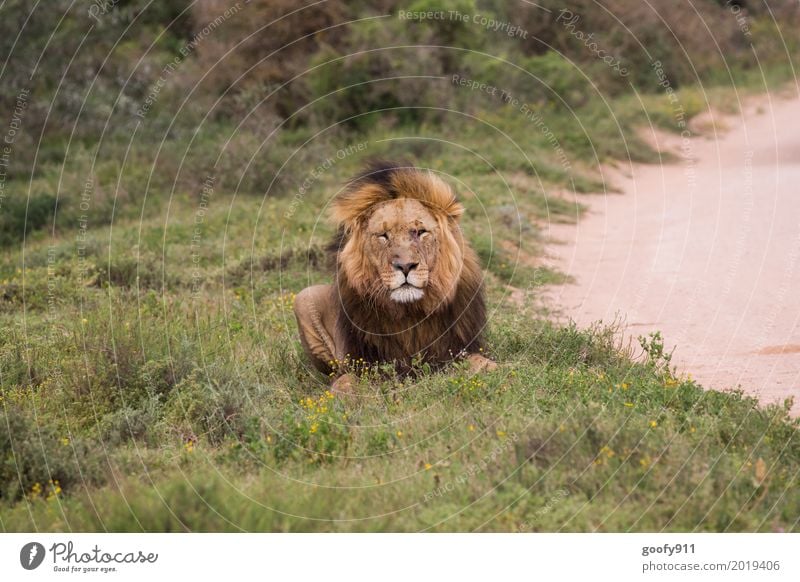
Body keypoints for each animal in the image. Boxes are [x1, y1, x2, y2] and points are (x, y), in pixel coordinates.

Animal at [294, 162, 494, 394]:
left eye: (420, 232)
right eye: (383, 235)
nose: (405, 266)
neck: (410, 314)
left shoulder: (456, 351)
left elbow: (485, 363)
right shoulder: (368, 363)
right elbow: (345, 382)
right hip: (304, 298)